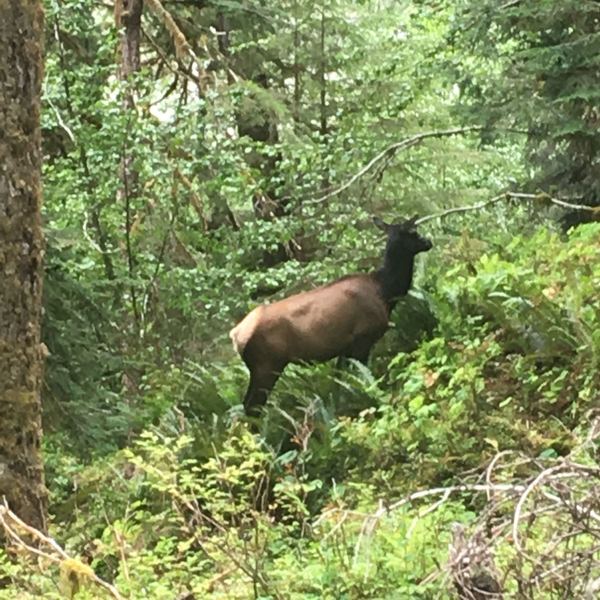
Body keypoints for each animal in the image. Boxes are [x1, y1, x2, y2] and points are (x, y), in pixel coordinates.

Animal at [230, 217, 432, 418]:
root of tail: (235, 335)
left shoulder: (345, 347)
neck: (385, 292)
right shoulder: (363, 339)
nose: (428, 242)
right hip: (267, 365)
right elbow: (362, 378)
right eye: (413, 232)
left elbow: (341, 382)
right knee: (252, 407)